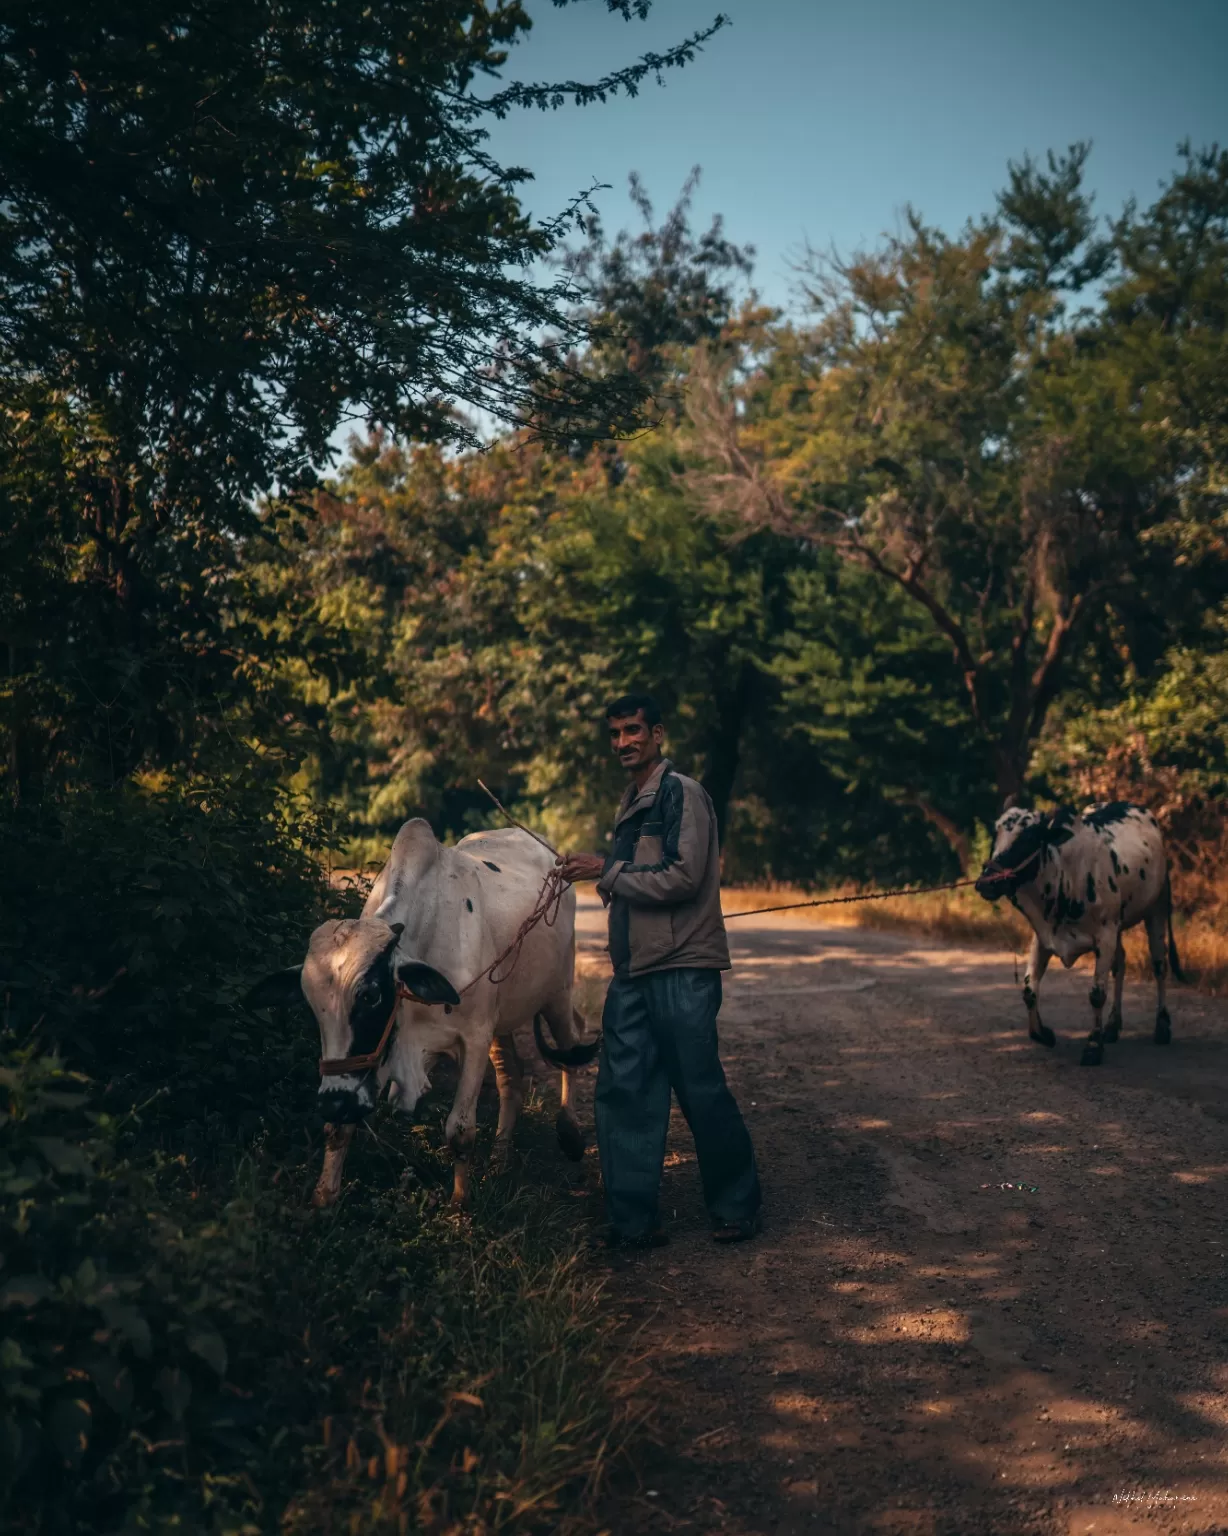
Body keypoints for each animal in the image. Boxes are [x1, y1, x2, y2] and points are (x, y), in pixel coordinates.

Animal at [977, 804, 1180, 1069]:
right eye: (996, 833)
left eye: (1029, 837)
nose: (985, 883)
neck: (1066, 874)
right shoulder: (1043, 938)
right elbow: (1029, 990)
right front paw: (1043, 1034)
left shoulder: (1104, 936)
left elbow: (1096, 994)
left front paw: (1093, 1047)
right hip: (1119, 927)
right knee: (1120, 965)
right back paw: (1113, 1025)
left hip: (1156, 910)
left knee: (1159, 966)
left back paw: (1162, 1026)